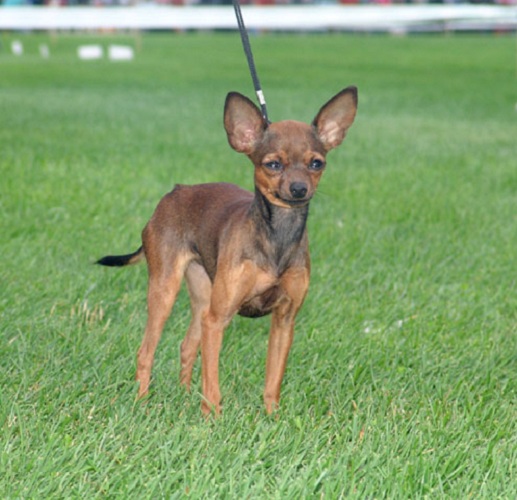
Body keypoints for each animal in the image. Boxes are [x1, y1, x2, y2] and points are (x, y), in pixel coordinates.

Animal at [97, 87, 356, 414]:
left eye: (316, 163)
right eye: (273, 164)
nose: (299, 189)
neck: (277, 236)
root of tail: (175, 191)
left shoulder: (284, 322)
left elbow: (272, 381)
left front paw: (272, 417)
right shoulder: (217, 320)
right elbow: (212, 384)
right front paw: (213, 419)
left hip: (202, 298)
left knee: (186, 346)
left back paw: (184, 396)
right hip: (165, 291)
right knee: (146, 351)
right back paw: (141, 401)